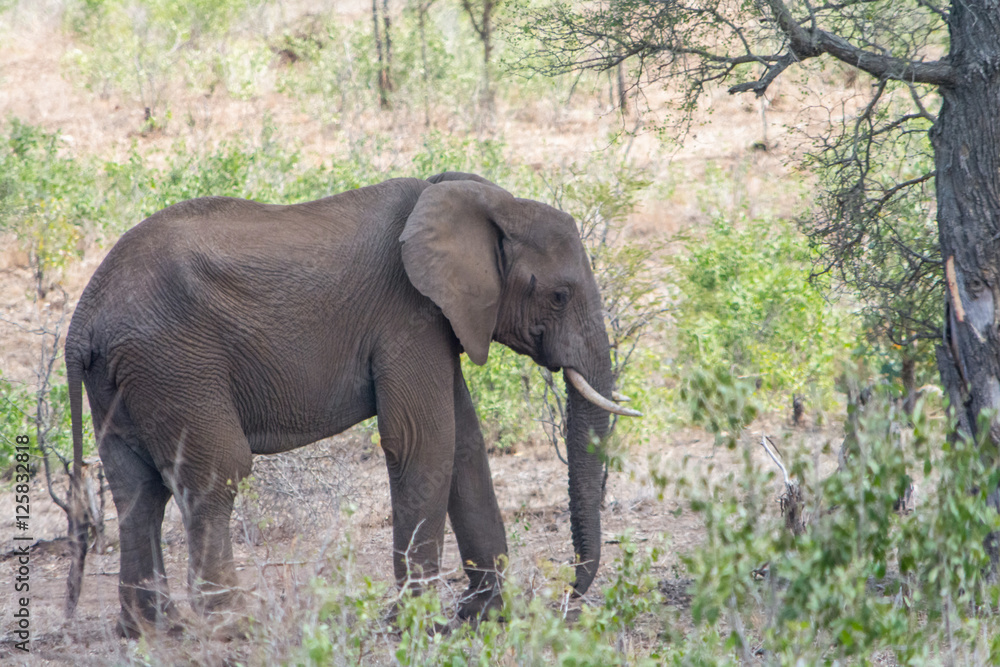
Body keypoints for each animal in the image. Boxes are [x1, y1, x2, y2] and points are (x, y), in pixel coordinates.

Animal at [64, 171, 639, 637]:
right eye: (560, 296)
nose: (570, 594)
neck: (485, 201)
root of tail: (82, 320)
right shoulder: (409, 313)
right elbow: (422, 442)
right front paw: (417, 625)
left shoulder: (440, 320)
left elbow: (465, 444)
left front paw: (487, 619)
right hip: (176, 363)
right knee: (216, 474)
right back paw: (233, 628)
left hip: (128, 378)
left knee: (138, 490)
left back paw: (152, 630)